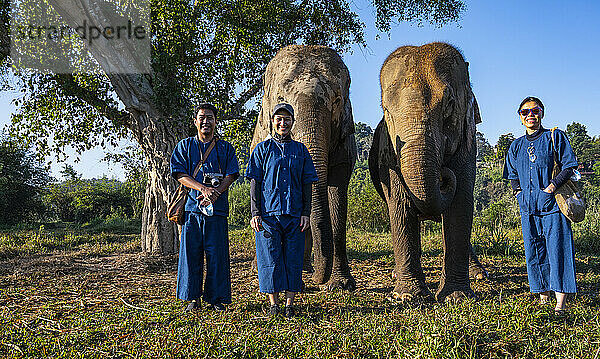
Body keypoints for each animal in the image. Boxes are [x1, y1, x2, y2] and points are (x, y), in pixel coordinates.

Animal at [248, 45, 356, 292]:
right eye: (281, 99)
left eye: (337, 100)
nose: (318, 279)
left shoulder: (346, 139)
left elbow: (337, 193)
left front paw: (341, 284)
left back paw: (304, 268)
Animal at [368, 43, 490, 304]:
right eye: (386, 109)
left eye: (450, 104)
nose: (443, 174)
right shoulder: (388, 153)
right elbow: (399, 204)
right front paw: (407, 296)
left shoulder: (468, 142)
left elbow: (461, 202)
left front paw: (457, 297)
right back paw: (396, 275)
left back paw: (479, 274)